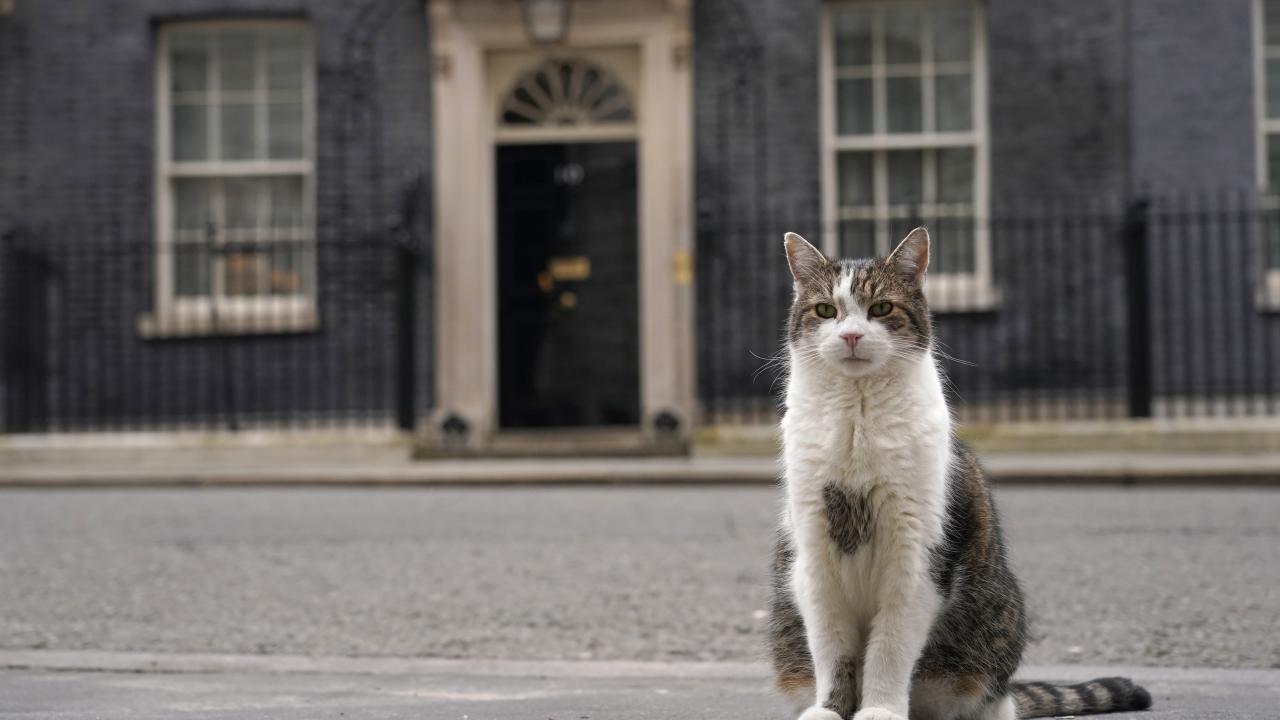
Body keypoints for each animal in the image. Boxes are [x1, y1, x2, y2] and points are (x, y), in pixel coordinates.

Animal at [762, 228, 1157, 717]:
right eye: (825, 311)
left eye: (881, 309)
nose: (852, 335)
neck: (858, 419)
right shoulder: (815, 556)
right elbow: (832, 649)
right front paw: (831, 709)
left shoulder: (916, 557)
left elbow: (889, 648)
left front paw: (879, 710)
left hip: (988, 648)